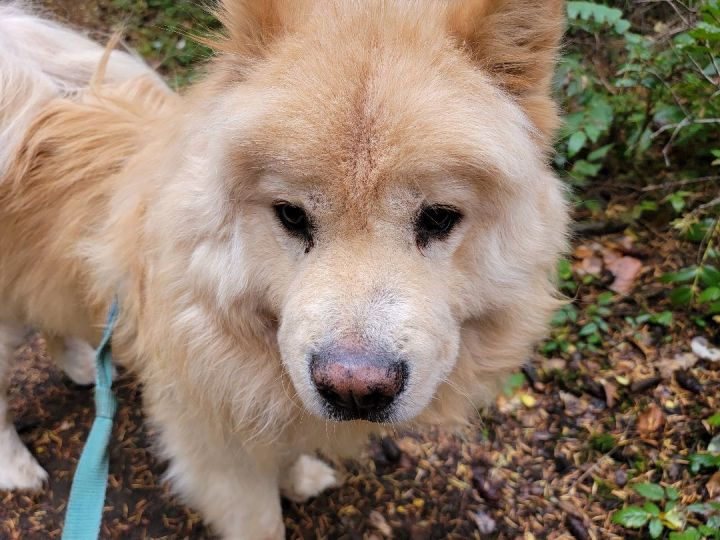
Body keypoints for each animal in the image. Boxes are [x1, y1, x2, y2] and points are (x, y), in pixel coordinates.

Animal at [1, 1, 568, 536]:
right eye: (291, 215)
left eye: (439, 218)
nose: (355, 388)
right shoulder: (219, 456)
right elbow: (263, 521)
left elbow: (291, 450)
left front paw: (299, 480)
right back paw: (18, 467)